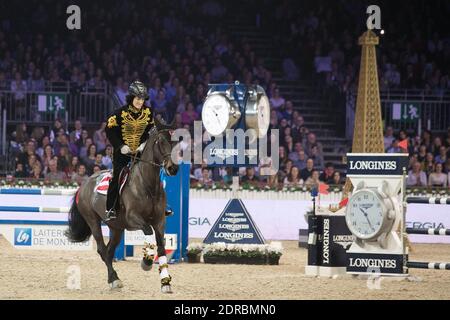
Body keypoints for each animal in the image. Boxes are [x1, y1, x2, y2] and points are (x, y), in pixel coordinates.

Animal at [65, 119, 178, 292]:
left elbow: (161, 247)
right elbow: (148, 232)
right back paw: (114, 279)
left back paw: (113, 278)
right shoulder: (133, 217)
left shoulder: (160, 221)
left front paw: (165, 282)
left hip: (117, 228)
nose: (173, 168)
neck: (147, 185)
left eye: (173, 143)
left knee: (109, 251)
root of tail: (84, 185)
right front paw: (146, 261)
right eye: (159, 142)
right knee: (102, 249)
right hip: (93, 221)